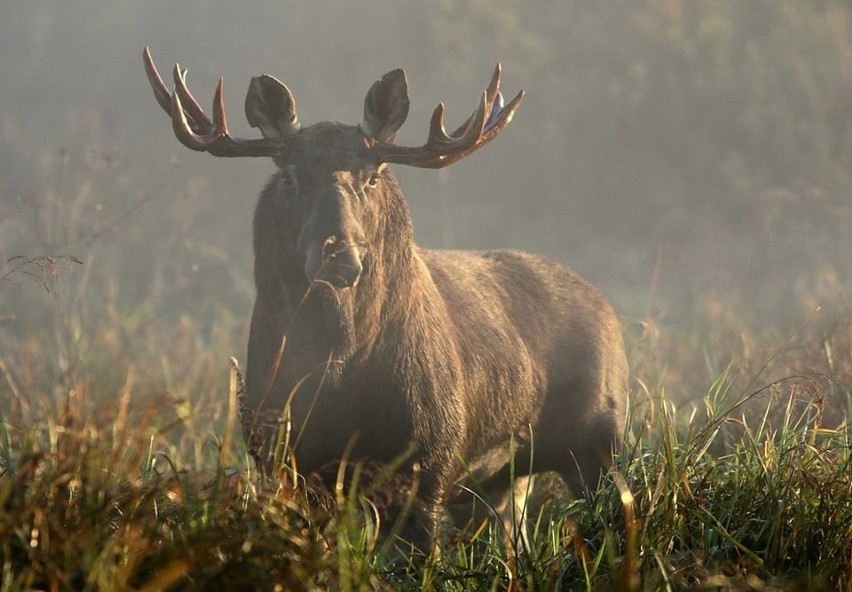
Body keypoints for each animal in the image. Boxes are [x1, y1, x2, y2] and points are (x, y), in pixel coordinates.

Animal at [143, 48, 628, 548]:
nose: (339, 255)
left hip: (601, 437)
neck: (338, 365)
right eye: (289, 177)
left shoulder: (429, 458)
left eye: (373, 177)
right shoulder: (284, 456)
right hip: (501, 480)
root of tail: (608, 310)